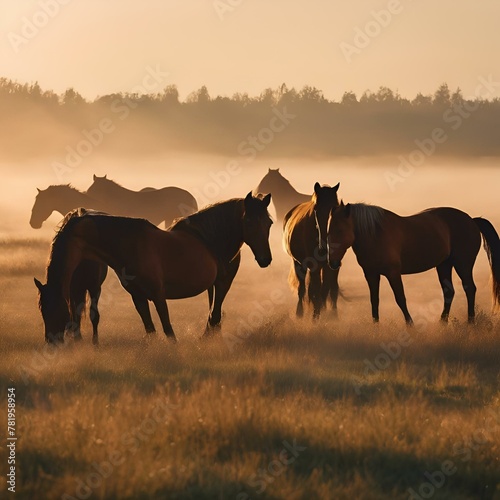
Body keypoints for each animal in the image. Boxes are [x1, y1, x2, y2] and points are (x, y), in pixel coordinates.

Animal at [34, 208, 108, 344]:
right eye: (42, 309)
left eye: (58, 310)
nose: (51, 341)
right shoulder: (71, 288)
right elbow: (74, 312)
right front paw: (77, 338)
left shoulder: (94, 287)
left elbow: (94, 314)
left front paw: (95, 343)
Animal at [46, 193, 274, 342]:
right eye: (249, 221)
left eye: (269, 223)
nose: (265, 259)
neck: (129, 243)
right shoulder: (138, 296)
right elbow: (151, 329)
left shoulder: (158, 295)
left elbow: (167, 328)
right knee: (213, 315)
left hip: (224, 282)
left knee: (215, 315)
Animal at [284, 182, 342, 318]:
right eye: (316, 209)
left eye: (335, 207)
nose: (324, 248)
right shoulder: (314, 266)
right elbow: (315, 291)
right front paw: (315, 317)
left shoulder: (334, 265)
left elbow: (331, 289)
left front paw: (333, 316)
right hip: (298, 263)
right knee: (302, 289)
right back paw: (300, 313)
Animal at [326, 202, 500, 324]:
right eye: (328, 232)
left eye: (340, 230)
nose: (333, 263)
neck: (375, 235)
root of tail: (471, 220)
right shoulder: (371, 274)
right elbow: (374, 300)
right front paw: (375, 325)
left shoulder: (393, 273)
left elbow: (400, 298)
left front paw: (411, 325)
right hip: (444, 265)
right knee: (449, 292)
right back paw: (442, 322)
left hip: (463, 264)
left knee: (470, 288)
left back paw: (470, 322)